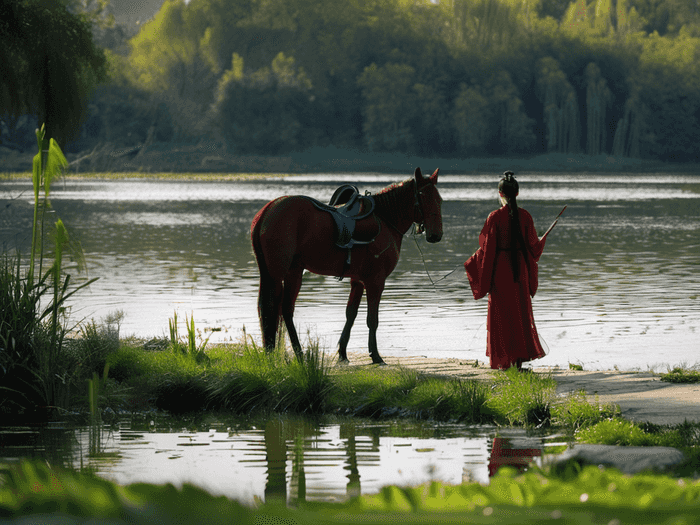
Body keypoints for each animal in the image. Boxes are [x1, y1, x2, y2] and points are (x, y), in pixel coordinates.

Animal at [249, 168, 440, 364]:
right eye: (425, 198)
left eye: (439, 200)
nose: (436, 235)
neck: (385, 220)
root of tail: (267, 211)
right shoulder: (376, 282)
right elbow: (372, 319)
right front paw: (375, 355)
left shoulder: (358, 281)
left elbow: (351, 314)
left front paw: (342, 353)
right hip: (278, 274)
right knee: (274, 307)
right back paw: (290, 353)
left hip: (289, 272)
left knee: (284, 310)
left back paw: (294, 353)